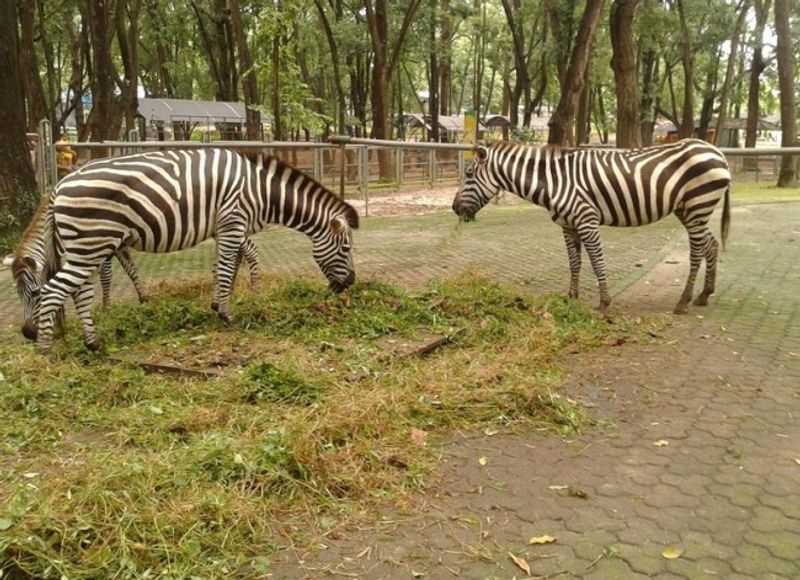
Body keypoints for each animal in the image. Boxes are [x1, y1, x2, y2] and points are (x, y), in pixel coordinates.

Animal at [14, 147, 358, 354]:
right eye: (346, 246)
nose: (350, 284)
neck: (261, 191)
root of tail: (59, 186)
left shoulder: (225, 227)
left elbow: (225, 267)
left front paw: (220, 304)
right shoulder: (233, 221)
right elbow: (225, 269)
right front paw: (226, 314)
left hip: (86, 247)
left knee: (79, 293)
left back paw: (92, 342)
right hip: (92, 244)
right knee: (55, 290)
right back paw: (46, 351)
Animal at [450, 139, 732, 314]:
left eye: (469, 175)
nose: (454, 208)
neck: (554, 181)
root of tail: (717, 152)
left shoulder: (587, 221)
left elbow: (596, 261)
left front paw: (604, 302)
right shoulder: (568, 226)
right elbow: (575, 263)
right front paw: (571, 298)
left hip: (697, 206)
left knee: (697, 252)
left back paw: (683, 302)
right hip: (689, 210)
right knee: (711, 245)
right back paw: (704, 294)